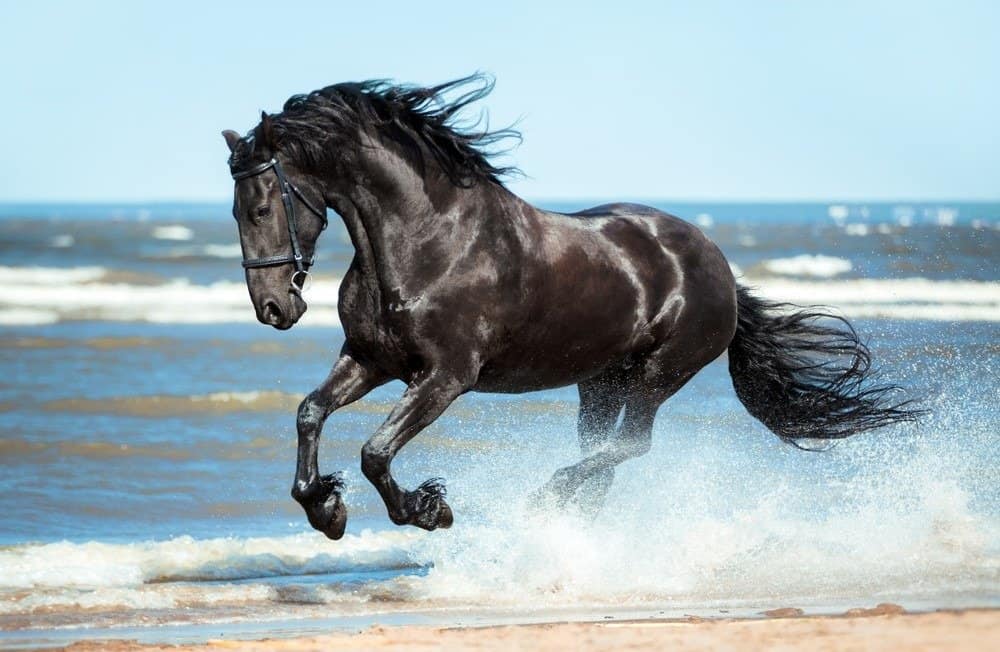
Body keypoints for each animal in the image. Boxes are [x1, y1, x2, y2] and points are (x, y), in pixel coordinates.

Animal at [221, 75, 919, 540]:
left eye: (262, 206)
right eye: (234, 210)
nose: (274, 308)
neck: (427, 239)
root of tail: (717, 264)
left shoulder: (446, 377)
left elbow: (376, 451)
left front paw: (427, 509)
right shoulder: (370, 359)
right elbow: (310, 413)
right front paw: (325, 508)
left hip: (658, 374)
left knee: (629, 447)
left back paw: (547, 498)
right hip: (599, 382)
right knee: (605, 455)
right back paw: (567, 520)